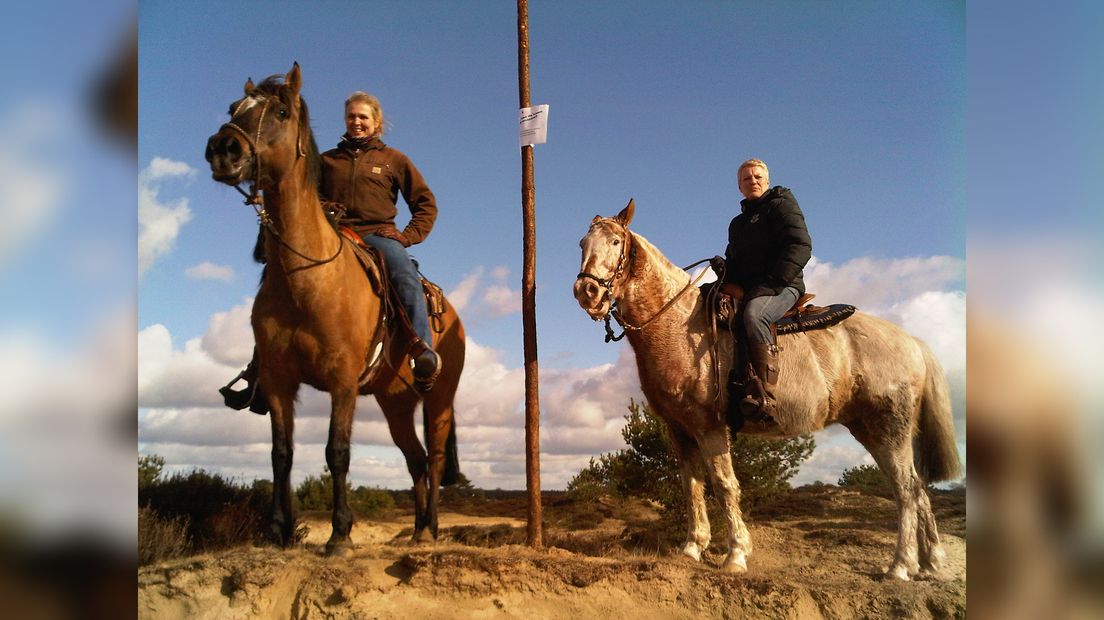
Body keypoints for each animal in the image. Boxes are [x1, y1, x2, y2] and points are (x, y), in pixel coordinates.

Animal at [205, 62, 463, 551]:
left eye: (281, 111)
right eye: (232, 108)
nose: (222, 149)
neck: (305, 280)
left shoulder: (342, 380)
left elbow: (336, 451)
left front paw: (340, 534)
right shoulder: (278, 380)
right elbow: (281, 454)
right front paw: (277, 531)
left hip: (438, 399)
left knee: (436, 458)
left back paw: (431, 530)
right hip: (395, 403)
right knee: (416, 459)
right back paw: (418, 529)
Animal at [574, 200, 962, 578]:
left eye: (615, 242)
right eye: (582, 244)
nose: (586, 292)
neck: (678, 324)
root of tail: (912, 341)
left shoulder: (710, 427)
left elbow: (725, 485)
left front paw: (735, 554)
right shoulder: (679, 430)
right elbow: (692, 485)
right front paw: (692, 547)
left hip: (889, 429)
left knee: (906, 490)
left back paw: (901, 565)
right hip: (870, 429)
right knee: (918, 488)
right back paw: (931, 561)